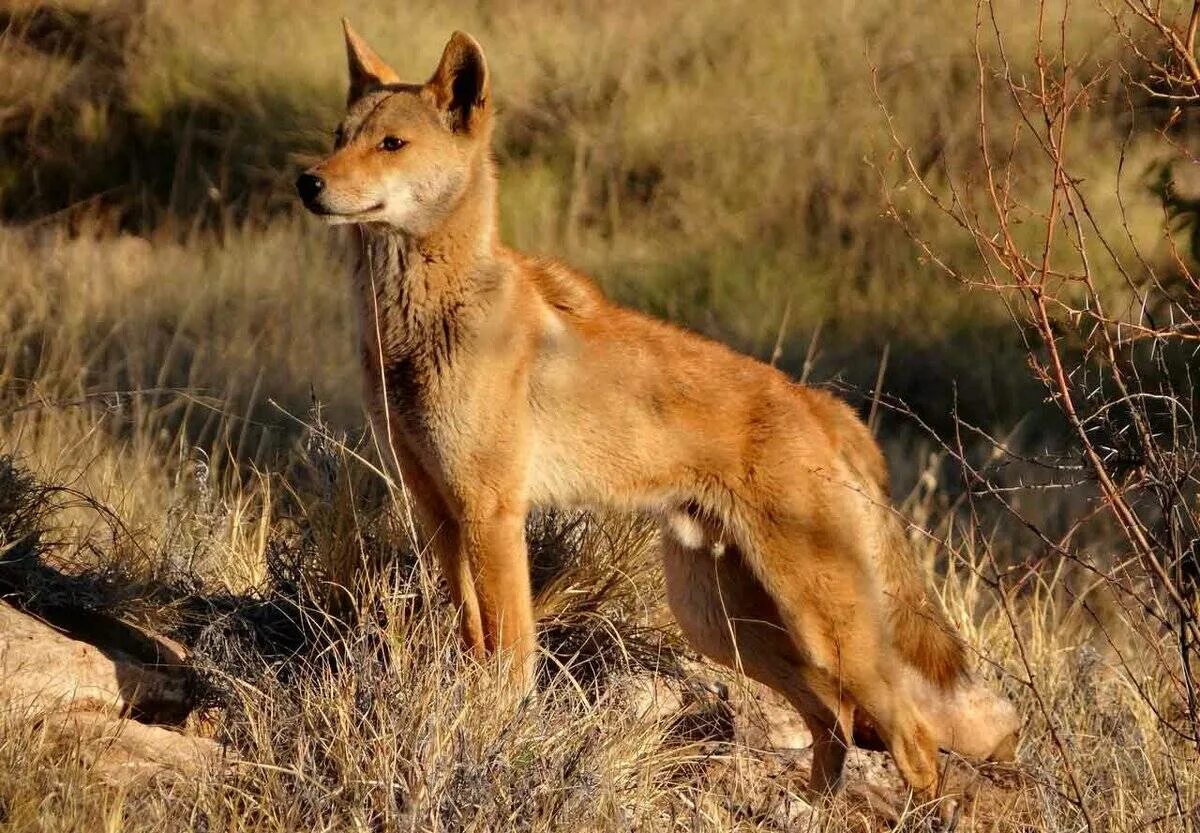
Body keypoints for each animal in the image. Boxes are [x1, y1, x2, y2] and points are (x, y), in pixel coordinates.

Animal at [295, 24, 1017, 801]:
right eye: (339, 137)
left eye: (391, 144)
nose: (309, 182)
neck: (419, 326)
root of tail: (819, 404)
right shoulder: (436, 509)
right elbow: (472, 640)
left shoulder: (492, 512)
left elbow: (510, 660)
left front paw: (496, 738)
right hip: (726, 624)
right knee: (836, 722)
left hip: (821, 622)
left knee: (910, 734)